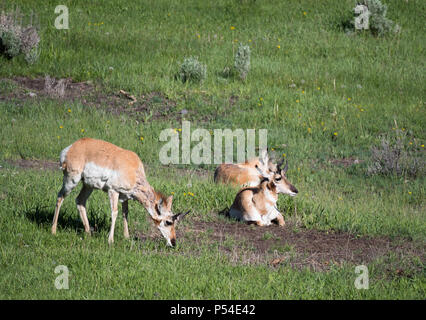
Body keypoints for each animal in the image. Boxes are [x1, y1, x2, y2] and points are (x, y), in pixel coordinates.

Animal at [51, 138, 188, 248]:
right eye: (168, 222)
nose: (174, 242)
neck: (134, 171)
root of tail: (71, 147)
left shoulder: (125, 196)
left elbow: (125, 213)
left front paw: (126, 237)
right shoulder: (113, 191)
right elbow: (115, 212)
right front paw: (110, 240)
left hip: (88, 185)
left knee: (80, 201)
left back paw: (88, 233)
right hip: (71, 180)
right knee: (60, 197)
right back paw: (53, 230)